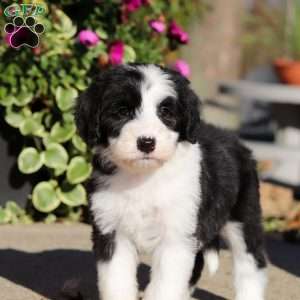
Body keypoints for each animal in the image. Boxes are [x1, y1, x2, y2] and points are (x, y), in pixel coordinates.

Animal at [75, 63, 268, 300]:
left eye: (165, 112)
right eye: (122, 111)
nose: (146, 142)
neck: (144, 177)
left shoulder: (176, 235)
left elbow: (165, 286)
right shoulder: (111, 230)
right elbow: (117, 282)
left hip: (243, 217)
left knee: (250, 265)